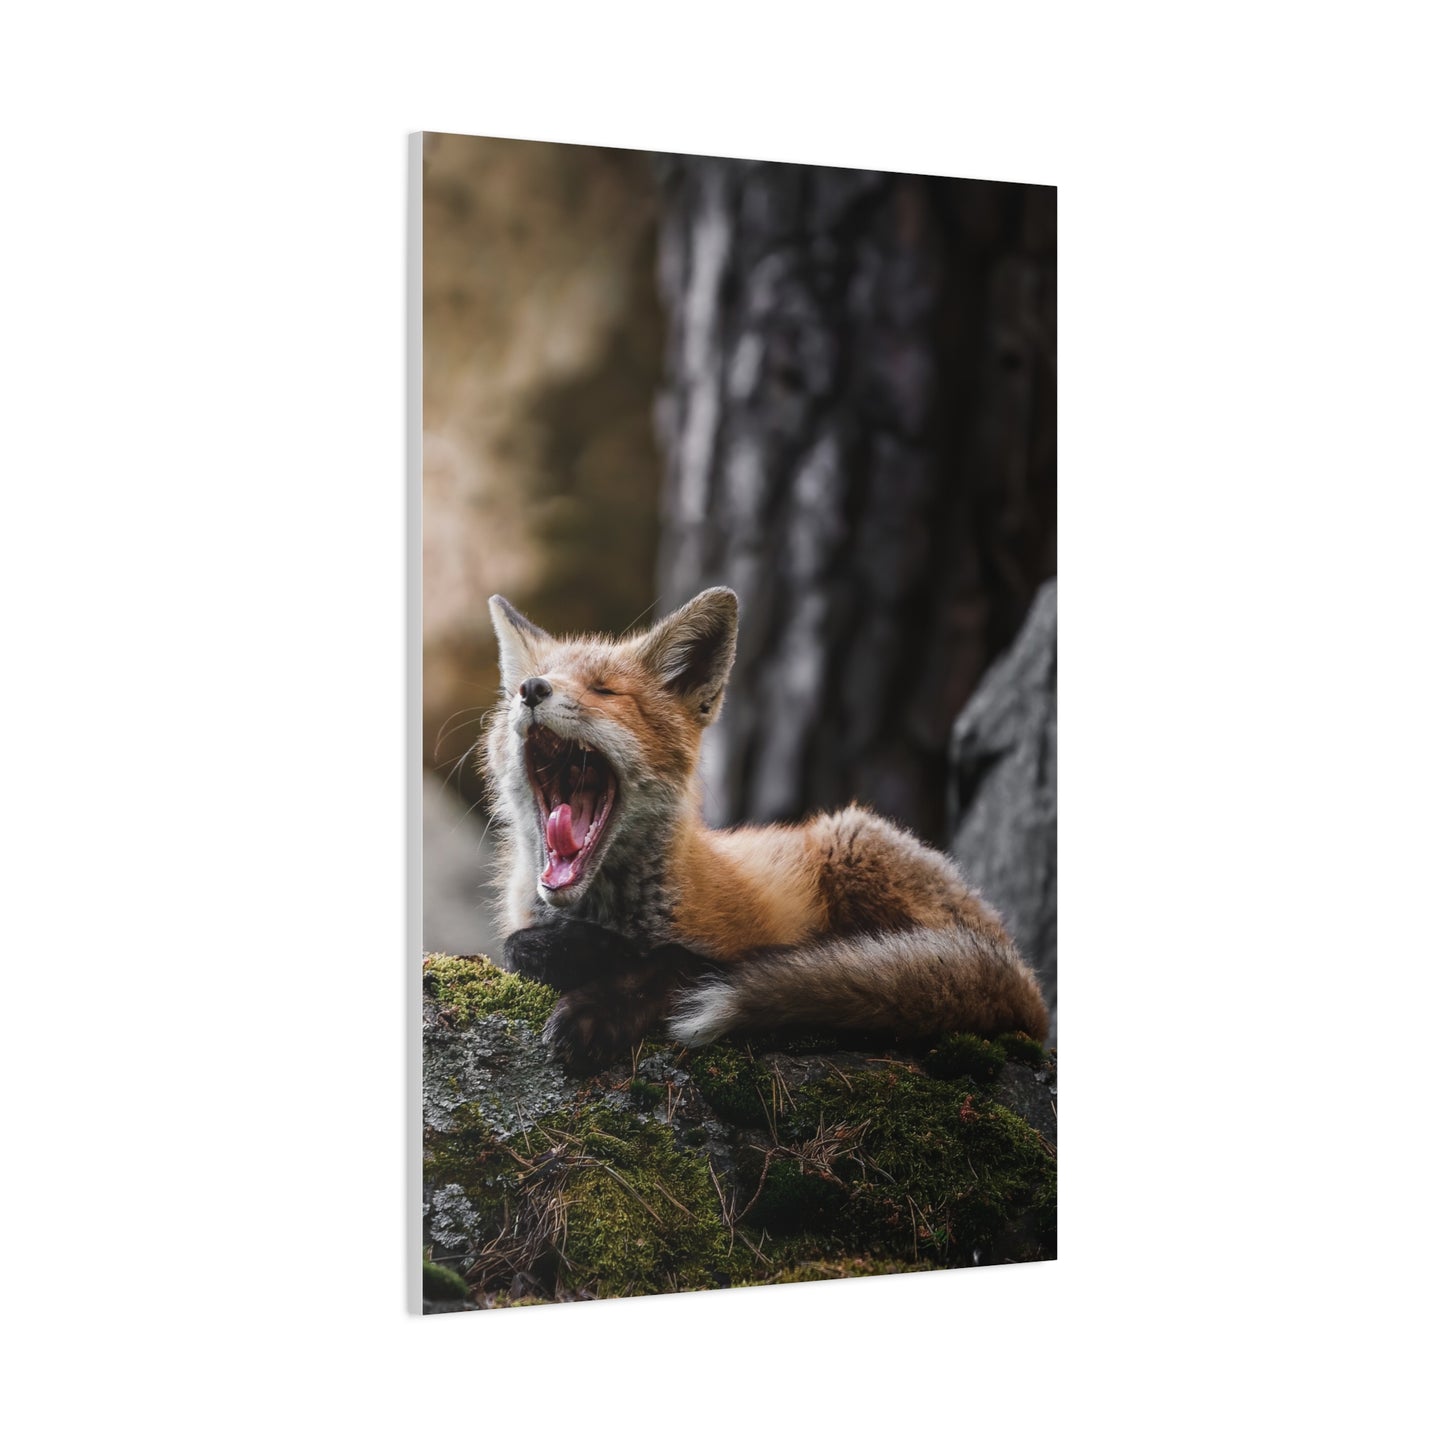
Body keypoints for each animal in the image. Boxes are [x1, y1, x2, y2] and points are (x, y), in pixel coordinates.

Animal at [483, 586, 1049, 1070]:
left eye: (603, 691)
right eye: (521, 689)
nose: (531, 690)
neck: (603, 912)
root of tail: (1024, 976)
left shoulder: (729, 947)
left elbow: (673, 965)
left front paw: (597, 1006)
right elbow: (516, 947)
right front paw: (579, 954)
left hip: (852, 841)